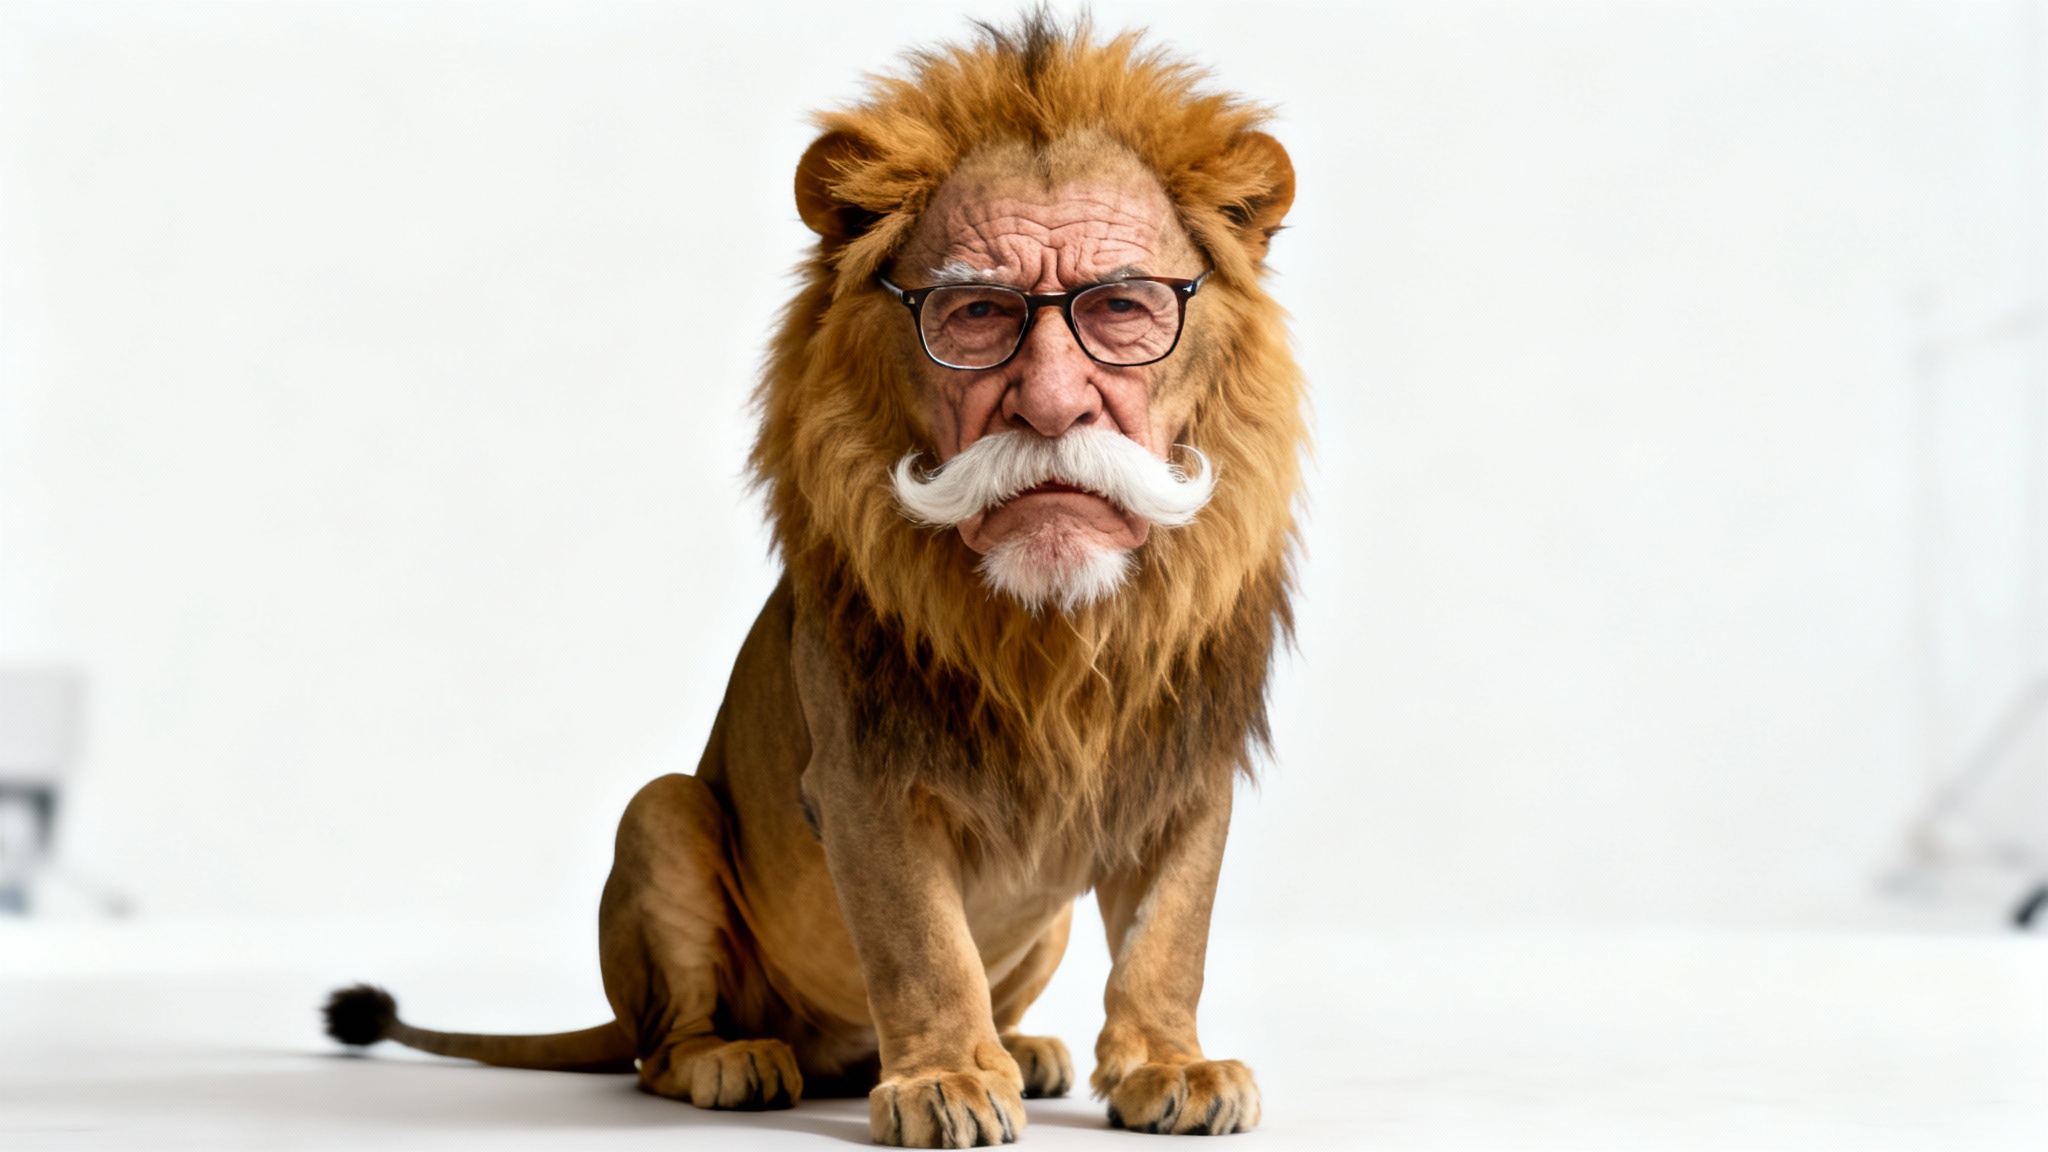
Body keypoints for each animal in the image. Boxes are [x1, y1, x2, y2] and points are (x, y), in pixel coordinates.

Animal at [323, 13, 1303, 1147]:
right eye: (978, 311)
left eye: (1120, 306)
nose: (1054, 412)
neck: (1051, 628)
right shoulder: (863, 773)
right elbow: (923, 945)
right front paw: (943, 1080)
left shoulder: (1184, 764)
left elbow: (1167, 938)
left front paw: (1169, 1067)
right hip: (662, 816)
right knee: (657, 1049)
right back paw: (741, 1061)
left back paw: (1023, 1047)